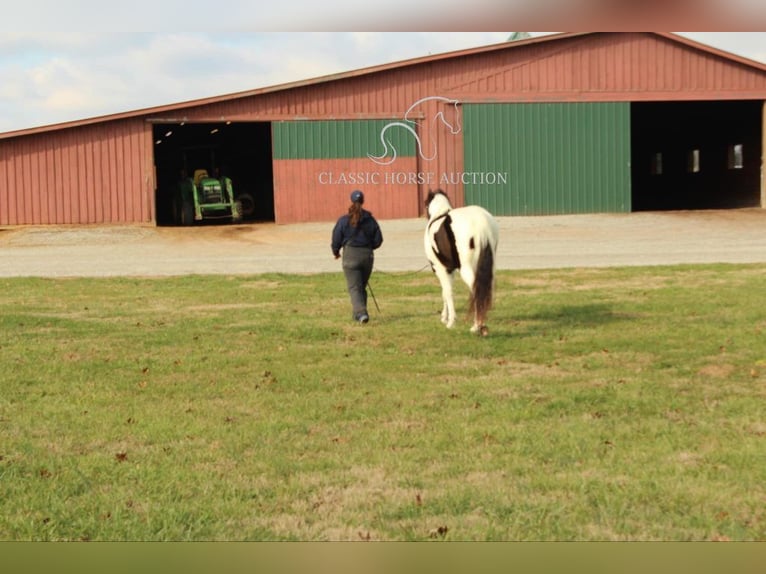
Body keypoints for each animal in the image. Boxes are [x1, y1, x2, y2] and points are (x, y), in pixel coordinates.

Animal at [424, 189, 500, 336]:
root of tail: (482, 225)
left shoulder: (440, 268)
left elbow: (447, 292)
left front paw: (450, 322)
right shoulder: (450, 270)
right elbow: (445, 292)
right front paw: (445, 317)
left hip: (466, 268)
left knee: (476, 290)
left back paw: (476, 326)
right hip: (489, 268)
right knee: (486, 290)